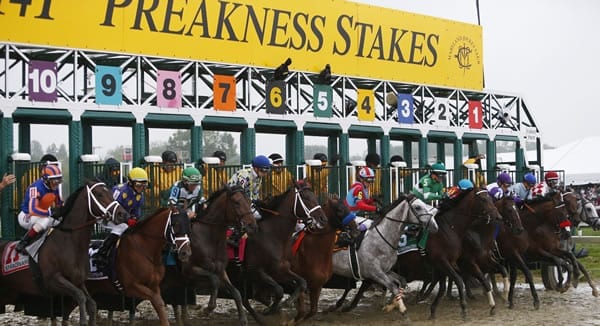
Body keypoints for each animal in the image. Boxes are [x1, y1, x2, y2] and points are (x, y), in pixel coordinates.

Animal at [0, 181, 129, 326]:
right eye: (99, 194)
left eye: (111, 193)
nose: (123, 214)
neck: (68, 241)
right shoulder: (53, 279)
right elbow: (80, 297)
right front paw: (83, 320)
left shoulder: (78, 280)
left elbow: (91, 303)